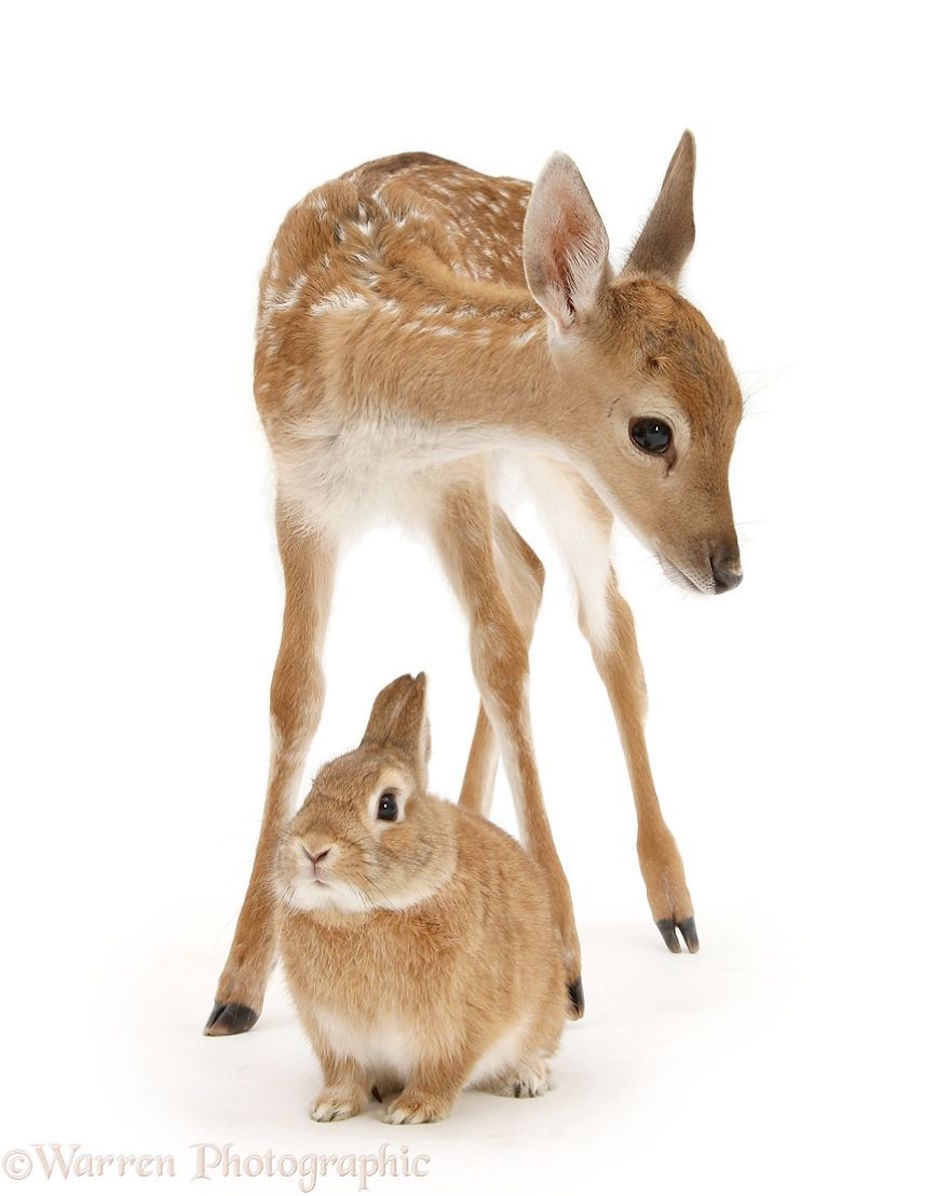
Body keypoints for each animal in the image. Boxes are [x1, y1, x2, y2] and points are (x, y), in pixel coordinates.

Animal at [204, 133, 744, 1037]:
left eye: (740, 414)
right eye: (653, 429)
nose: (729, 569)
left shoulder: (450, 475)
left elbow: (496, 657)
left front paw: (567, 969)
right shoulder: (302, 492)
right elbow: (295, 693)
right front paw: (236, 986)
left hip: (557, 477)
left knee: (607, 625)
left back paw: (674, 905)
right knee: (531, 576)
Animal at [276, 672, 566, 1124]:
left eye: (388, 805)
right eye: (316, 786)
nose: (314, 848)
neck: (362, 915)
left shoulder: (453, 1032)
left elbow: (440, 1073)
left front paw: (412, 1111)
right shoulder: (335, 1037)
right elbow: (345, 1075)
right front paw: (331, 1107)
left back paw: (525, 1079)